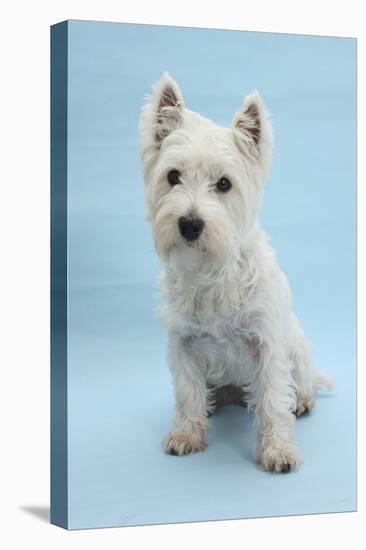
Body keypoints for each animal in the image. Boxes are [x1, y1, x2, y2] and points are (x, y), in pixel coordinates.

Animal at [139, 72, 334, 474]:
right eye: (173, 176)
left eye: (225, 184)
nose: (190, 224)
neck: (210, 270)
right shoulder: (182, 343)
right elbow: (188, 392)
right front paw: (187, 434)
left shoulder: (267, 344)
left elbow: (273, 400)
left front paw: (277, 450)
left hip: (298, 348)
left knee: (299, 382)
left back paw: (301, 400)